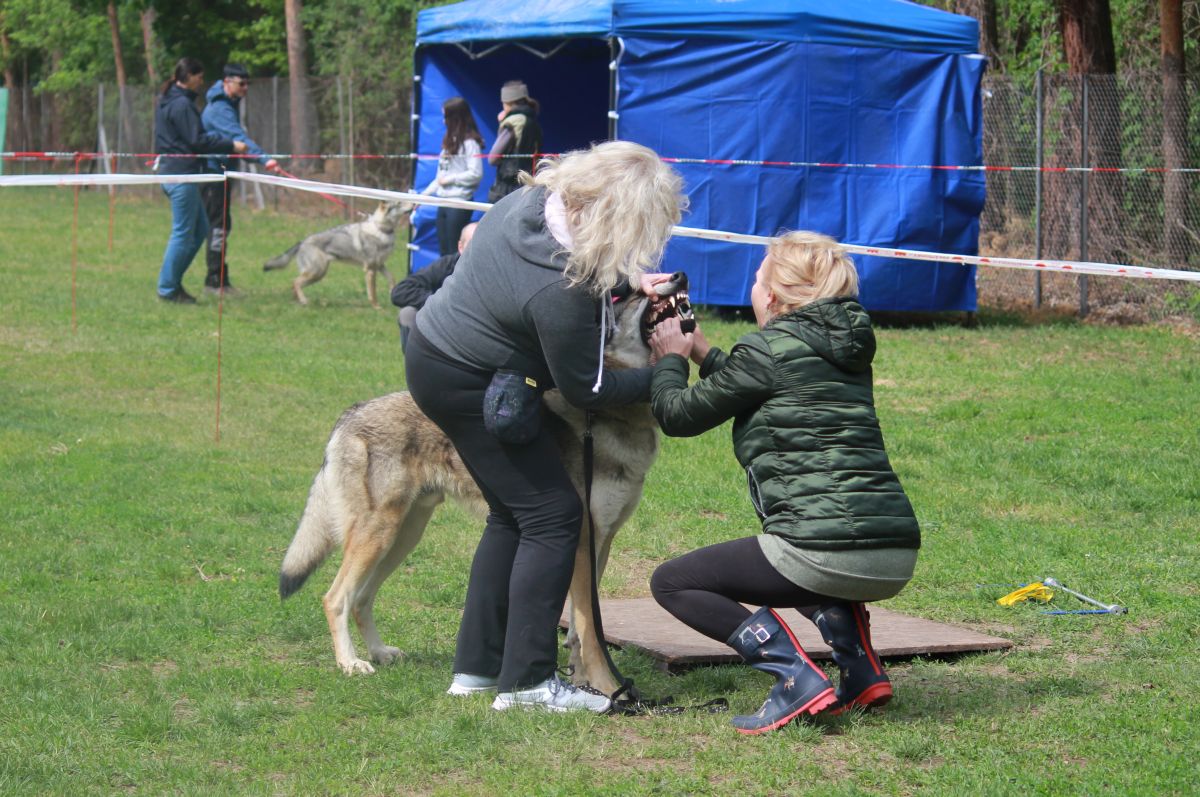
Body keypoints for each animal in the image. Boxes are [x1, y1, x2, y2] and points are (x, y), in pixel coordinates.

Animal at [262, 199, 412, 307]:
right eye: (399, 203)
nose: (415, 203)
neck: (381, 230)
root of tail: (302, 241)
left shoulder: (380, 265)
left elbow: (392, 279)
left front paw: (392, 293)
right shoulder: (370, 269)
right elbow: (373, 293)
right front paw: (377, 308)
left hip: (317, 274)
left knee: (294, 284)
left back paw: (298, 302)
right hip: (317, 272)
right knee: (295, 282)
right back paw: (303, 301)